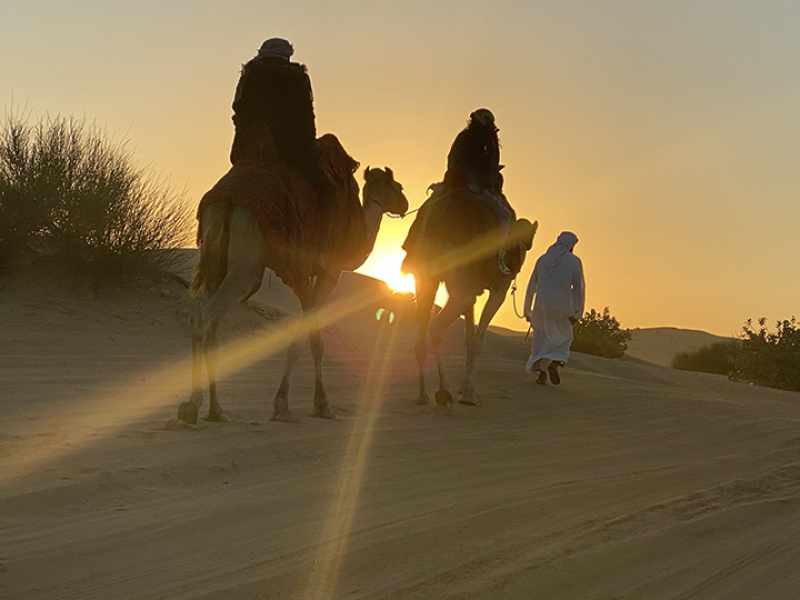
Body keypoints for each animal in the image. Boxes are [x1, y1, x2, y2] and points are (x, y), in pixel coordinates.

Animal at [179, 138, 410, 424]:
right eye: (397, 186)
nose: (405, 203)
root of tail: (226, 200)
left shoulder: (300, 277)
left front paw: (284, 404)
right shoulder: (329, 272)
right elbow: (313, 336)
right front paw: (317, 405)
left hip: (215, 256)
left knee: (201, 316)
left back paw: (207, 407)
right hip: (246, 262)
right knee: (210, 316)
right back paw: (201, 406)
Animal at [406, 190, 536, 410]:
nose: (517, 260)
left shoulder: (474, 290)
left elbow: (468, 336)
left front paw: (465, 387)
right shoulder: (498, 289)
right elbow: (477, 339)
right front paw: (468, 394)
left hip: (425, 276)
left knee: (421, 332)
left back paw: (423, 394)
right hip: (460, 281)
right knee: (436, 326)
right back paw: (443, 391)